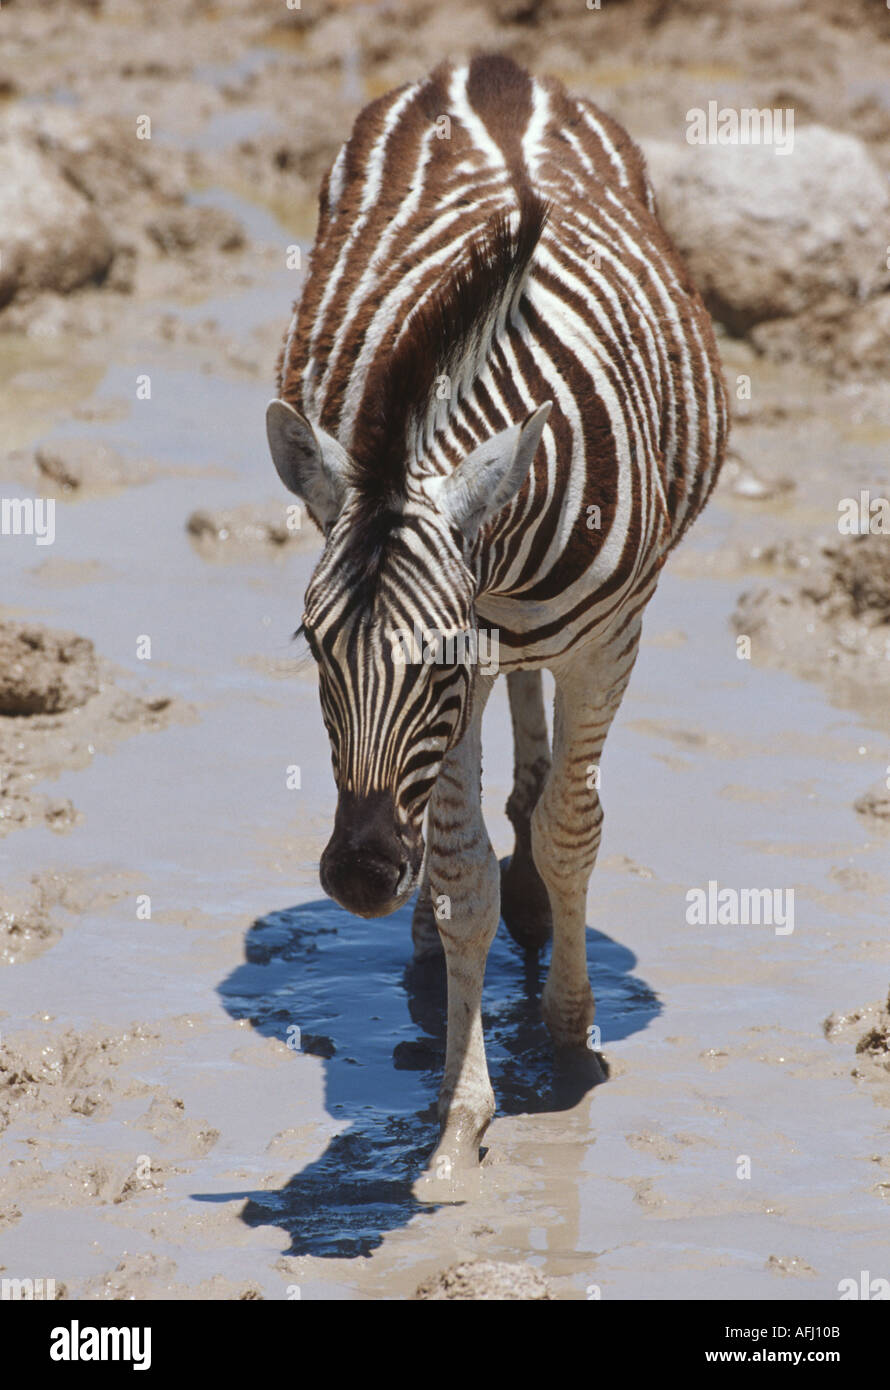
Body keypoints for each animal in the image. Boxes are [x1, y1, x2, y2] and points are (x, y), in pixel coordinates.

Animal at [267, 54, 727, 1179]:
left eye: (430, 659)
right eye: (312, 648)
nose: (358, 876)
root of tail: (487, 67)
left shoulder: (603, 642)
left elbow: (570, 829)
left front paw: (565, 1030)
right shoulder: (471, 664)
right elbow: (459, 870)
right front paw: (460, 1109)